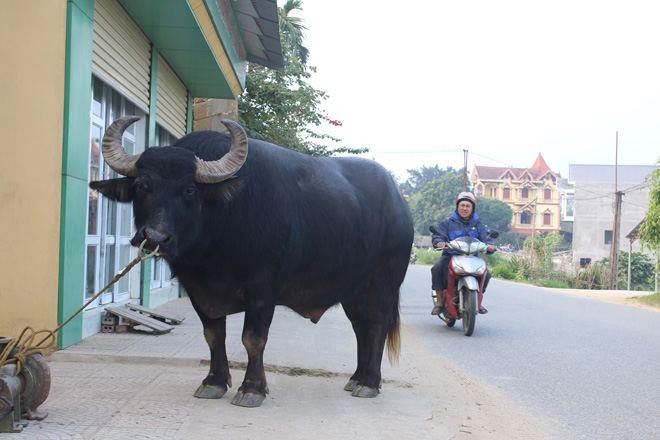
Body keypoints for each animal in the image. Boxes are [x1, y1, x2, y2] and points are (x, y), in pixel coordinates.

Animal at [93, 116, 412, 406]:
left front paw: (252, 389)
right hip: (353, 290)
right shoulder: (198, 291)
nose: (155, 236)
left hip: (383, 281)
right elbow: (213, 336)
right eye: (140, 187)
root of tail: (400, 202)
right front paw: (213, 382)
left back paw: (369, 384)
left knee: (377, 325)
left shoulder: (263, 289)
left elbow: (253, 339)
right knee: (361, 326)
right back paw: (357, 378)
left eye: (189, 190)